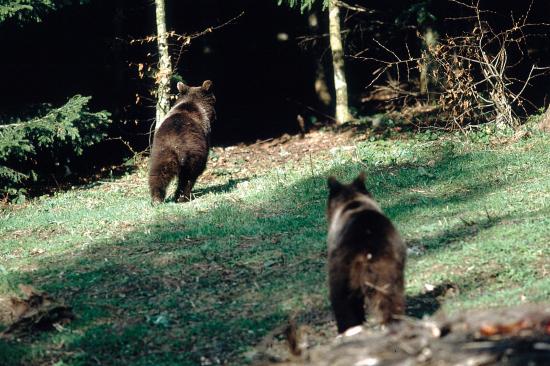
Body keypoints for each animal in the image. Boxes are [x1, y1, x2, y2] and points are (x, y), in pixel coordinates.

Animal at [326, 173, 408, 334]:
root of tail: (366, 249)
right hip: (388, 266)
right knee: (391, 296)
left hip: (342, 265)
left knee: (342, 299)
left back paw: (348, 329)